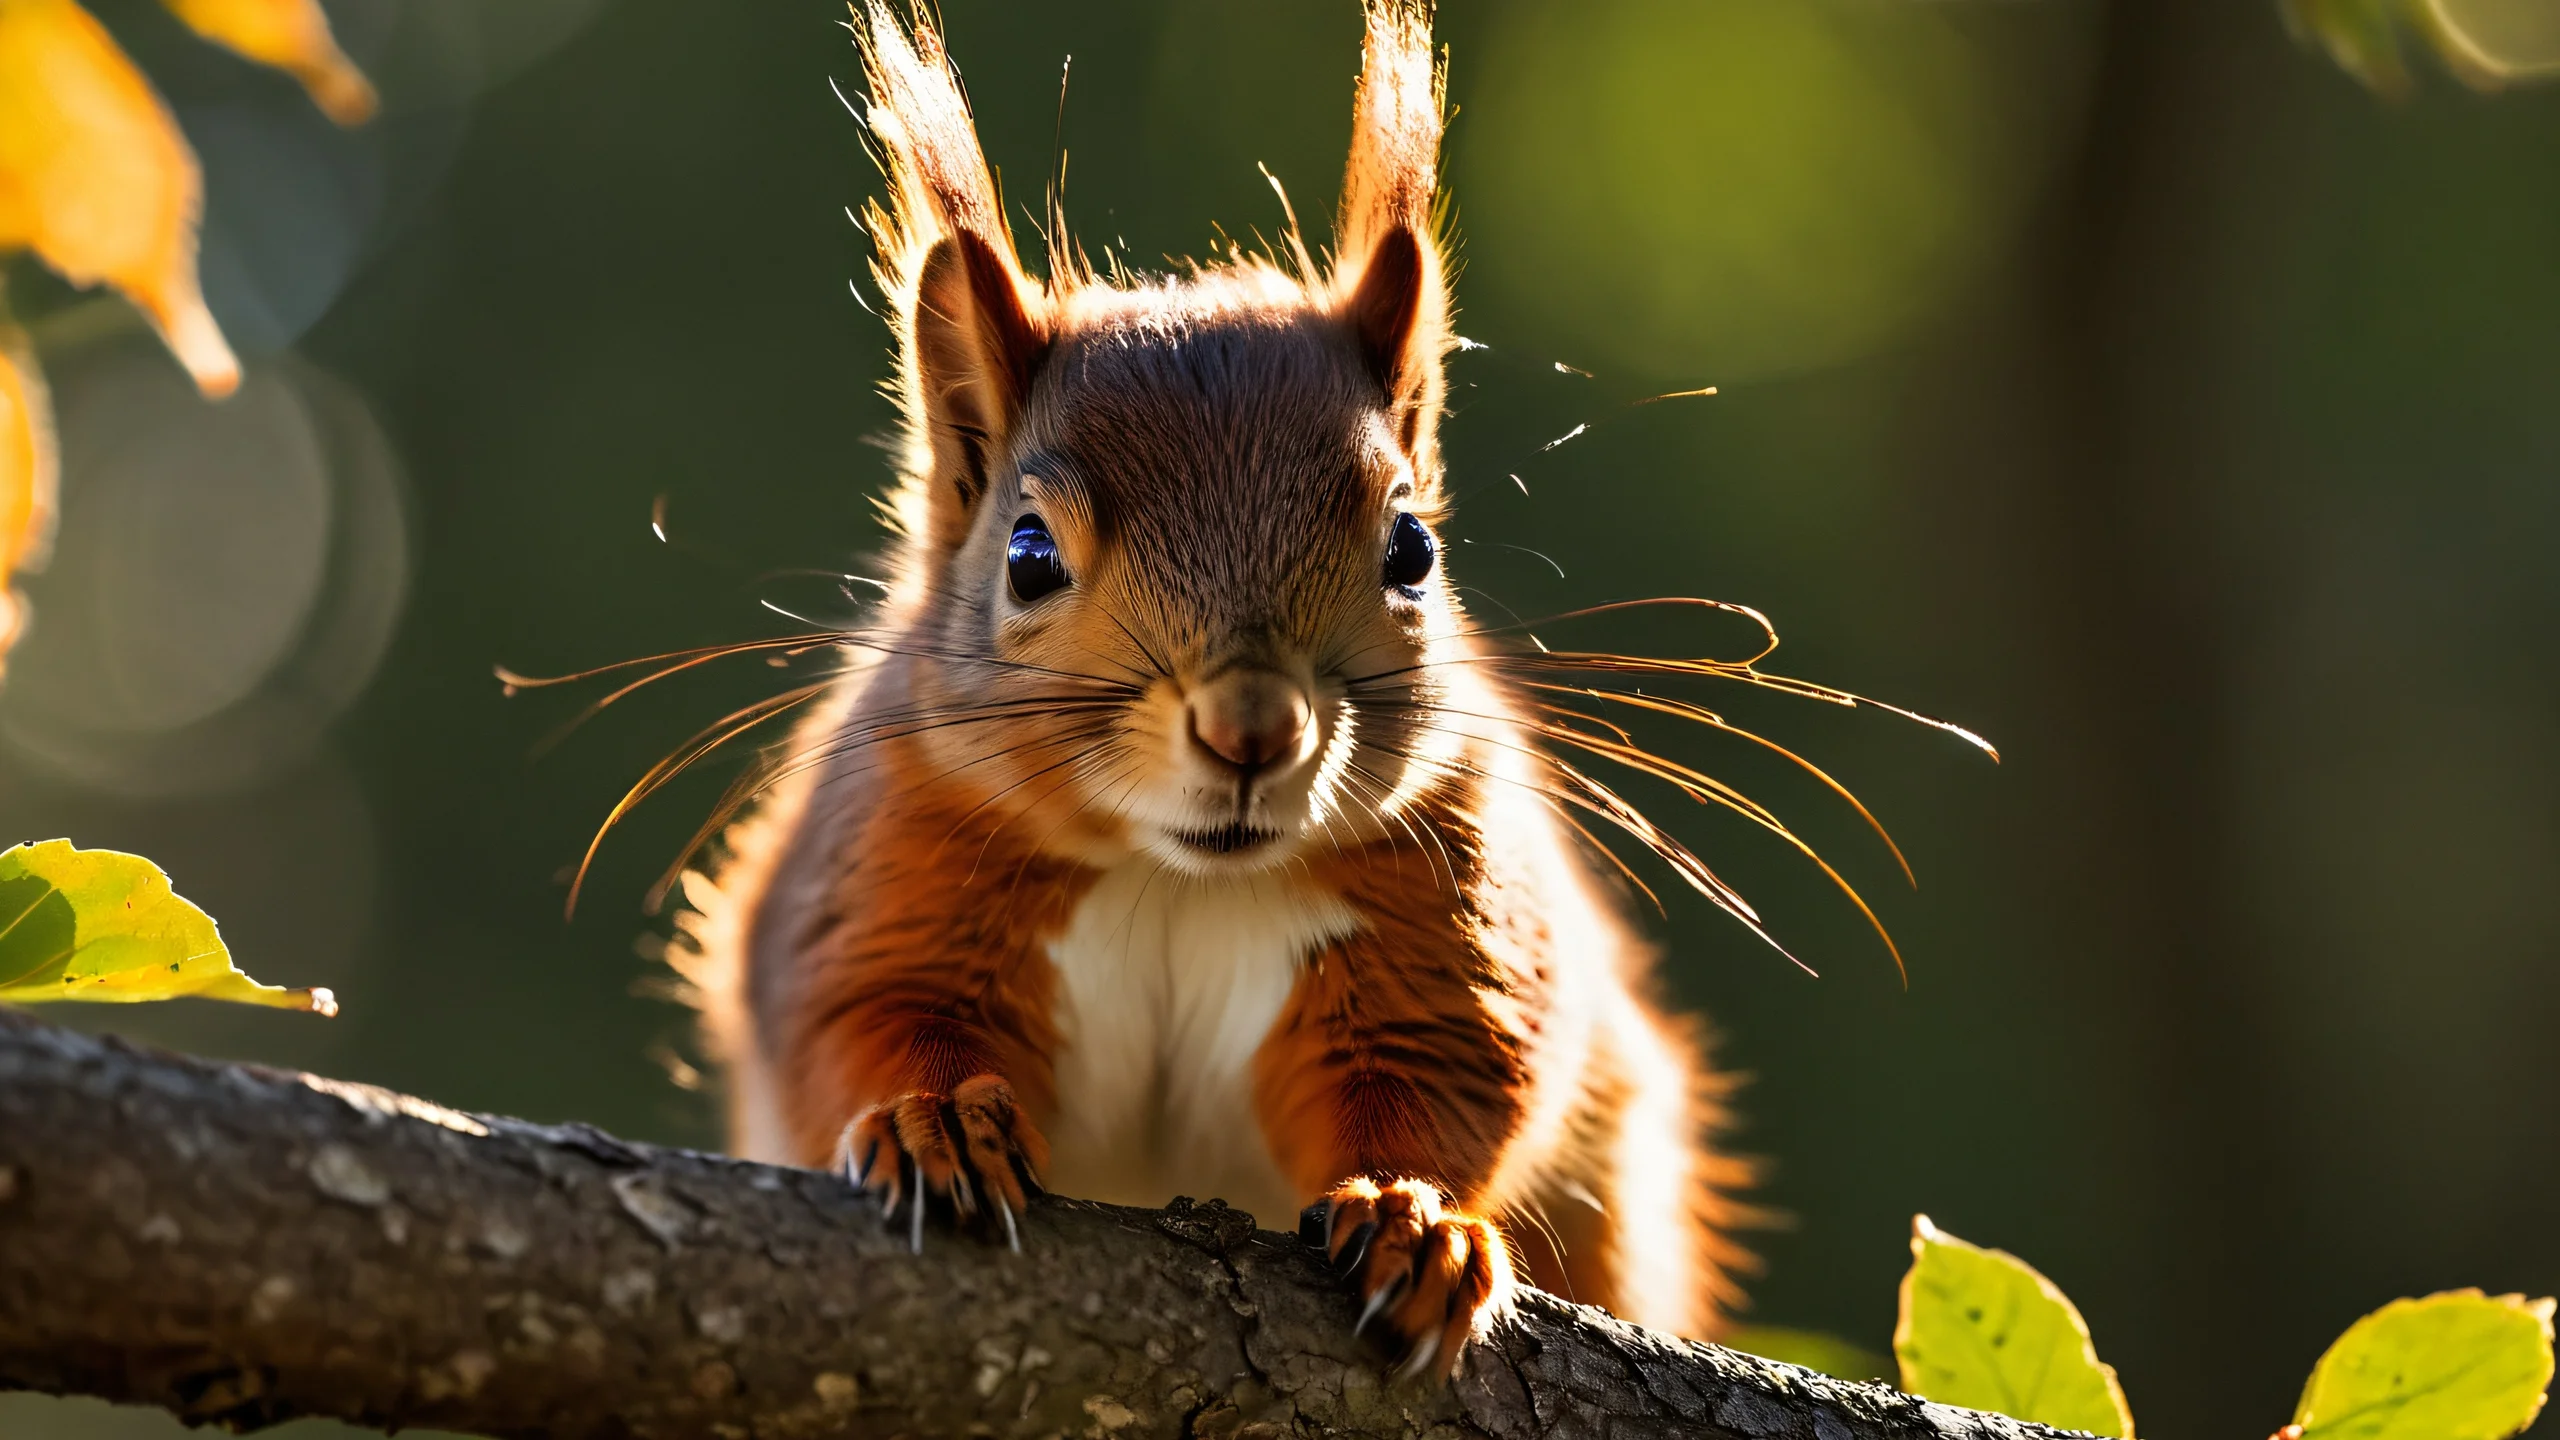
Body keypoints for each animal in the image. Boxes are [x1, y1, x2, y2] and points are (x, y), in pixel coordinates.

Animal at [669, 0, 1767, 1376]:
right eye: (1027, 556)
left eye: (1413, 548)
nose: (1254, 728)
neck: (1175, 877)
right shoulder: (879, 874)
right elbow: (864, 1015)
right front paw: (937, 1121)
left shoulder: (1447, 909)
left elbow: (1442, 1079)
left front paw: (1414, 1220)